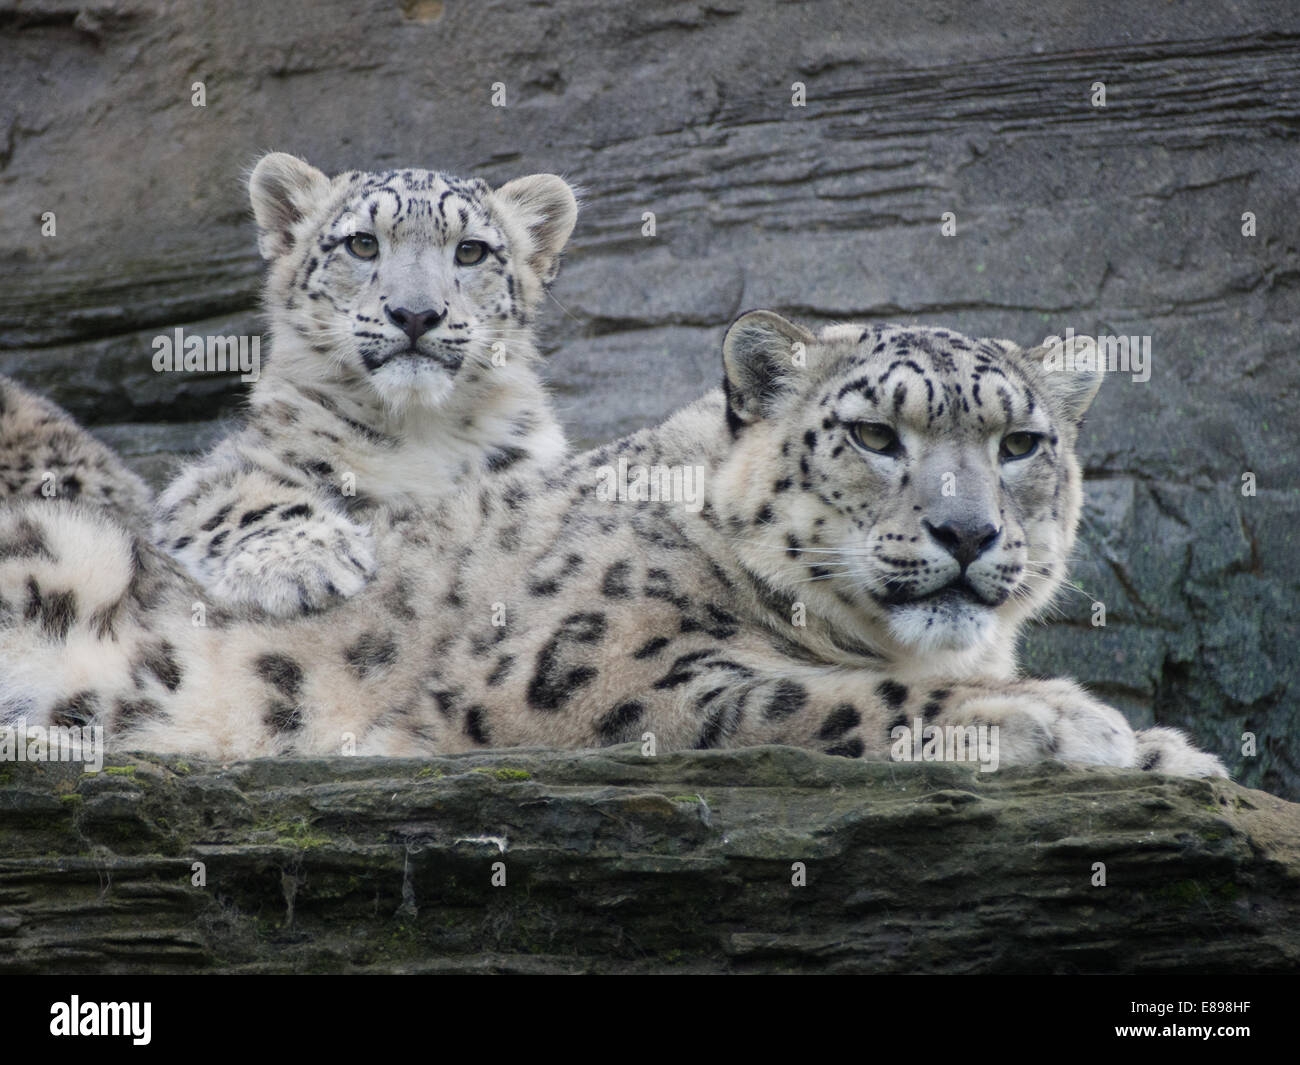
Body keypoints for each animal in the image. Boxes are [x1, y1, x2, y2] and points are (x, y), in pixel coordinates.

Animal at [0, 308, 1222, 775]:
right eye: (877, 433)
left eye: (1020, 442)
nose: (968, 530)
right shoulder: (590, 671)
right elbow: (816, 695)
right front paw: (1049, 718)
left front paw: (1163, 747)